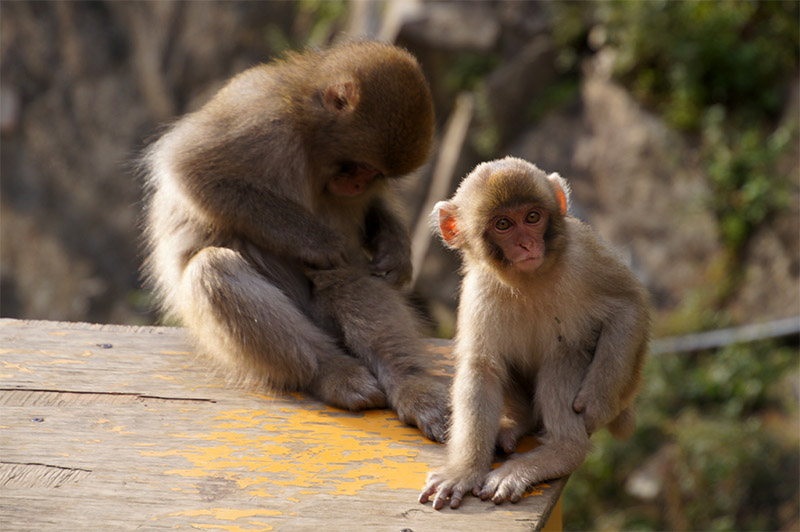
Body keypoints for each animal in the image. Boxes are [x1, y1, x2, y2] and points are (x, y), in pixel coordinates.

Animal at [142, 41, 449, 442]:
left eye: (375, 174)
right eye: (358, 165)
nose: (357, 184)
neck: (307, 129)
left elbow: (370, 220)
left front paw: (395, 248)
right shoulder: (260, 117)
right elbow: (194, 169)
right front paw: (321, 243)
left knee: (346, 279)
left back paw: (411, 383)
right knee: (214, 269)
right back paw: (332, 371)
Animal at [419, 156, 650, 508]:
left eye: (532, 217)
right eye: (503, 224)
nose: (526, 244)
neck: (529, 279)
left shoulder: (583, 255)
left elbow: (629, 306)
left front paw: (597, 401)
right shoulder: (479, 289)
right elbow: (482, 368)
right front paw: (464, 470)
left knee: (565, 354)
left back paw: (561, 452)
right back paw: (519, 424)